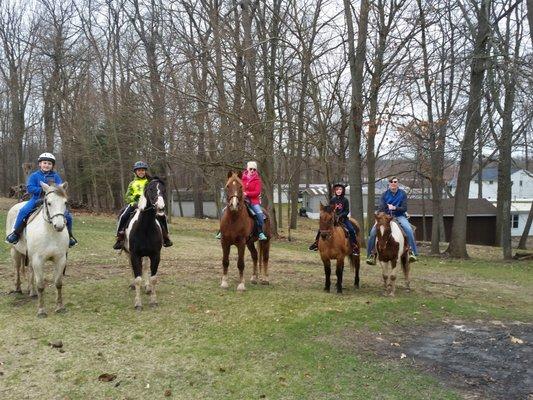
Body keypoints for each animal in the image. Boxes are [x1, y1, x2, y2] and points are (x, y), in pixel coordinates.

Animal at [5, 183, 70, 318]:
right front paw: (41, 311)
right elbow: (41, 285)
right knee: (17, 269)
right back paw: (18, 289)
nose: (59, 226)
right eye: (49, 203)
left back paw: (32, 292)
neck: (50, 232)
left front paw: (60, 307)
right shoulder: (38, 260)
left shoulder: (60, 259)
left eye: (65, 202)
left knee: (30, 271)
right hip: (15, 251)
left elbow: (58, 283)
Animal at [123, 178, 166, 310]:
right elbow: (137, 279)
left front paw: (153, 301)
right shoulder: (135, 255)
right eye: (151, 189)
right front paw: (138, 304)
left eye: (163, 189)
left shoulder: (155, 255)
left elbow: (153, 278)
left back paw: (147, 287)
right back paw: (132, 285)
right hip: (128, 252)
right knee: (132, 267)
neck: (145, 227)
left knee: (146, 267)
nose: (161, 207)